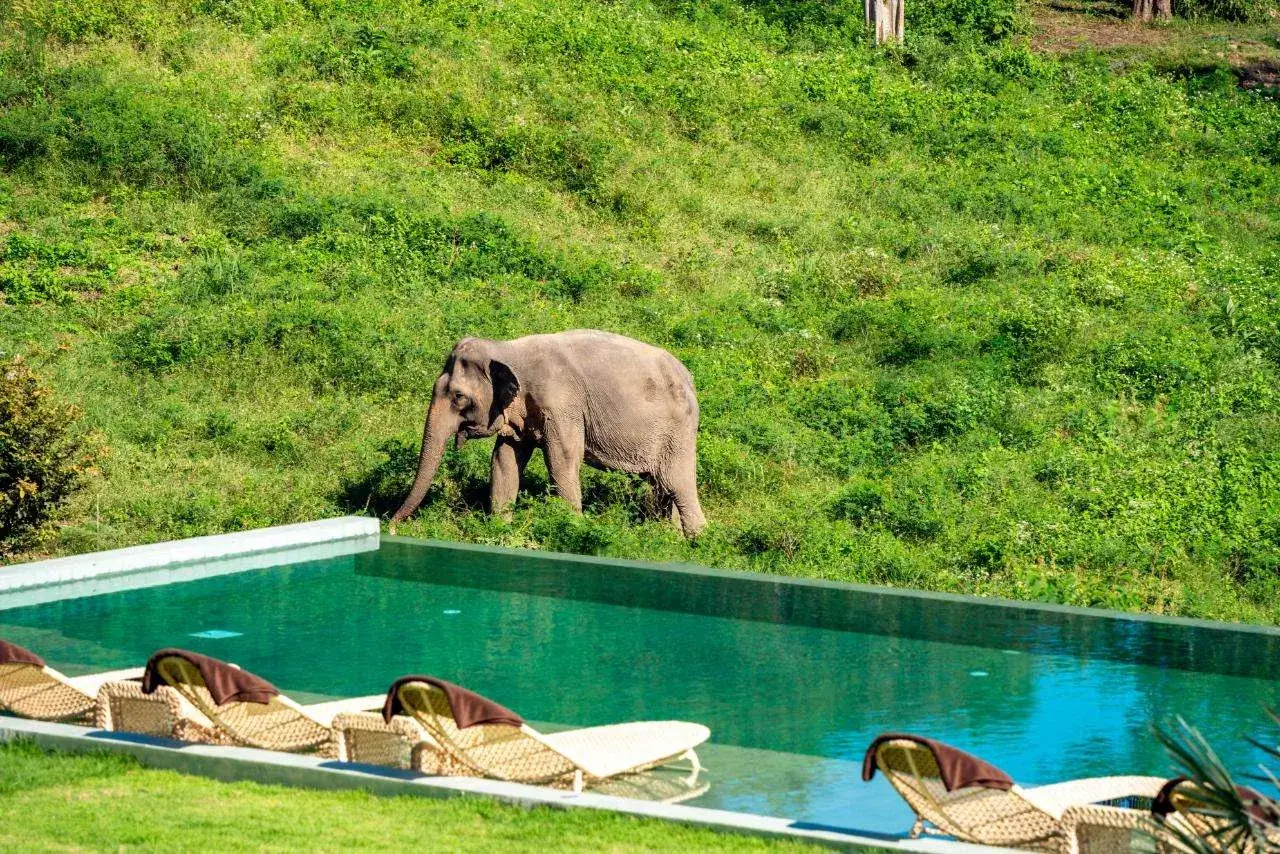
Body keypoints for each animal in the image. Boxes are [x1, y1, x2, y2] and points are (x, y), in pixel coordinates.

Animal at [389, 330, 707, 537]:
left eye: (458, 397)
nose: (390, 525)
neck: (508, 350)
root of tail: (689, 378)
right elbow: (503, 460)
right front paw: (500, 528)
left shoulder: (562, 404)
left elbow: (562, 461)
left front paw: (572, 529)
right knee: (659, 485)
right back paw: (667, 537)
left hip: (678, 431)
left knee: (676, 482)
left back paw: (697, 541)